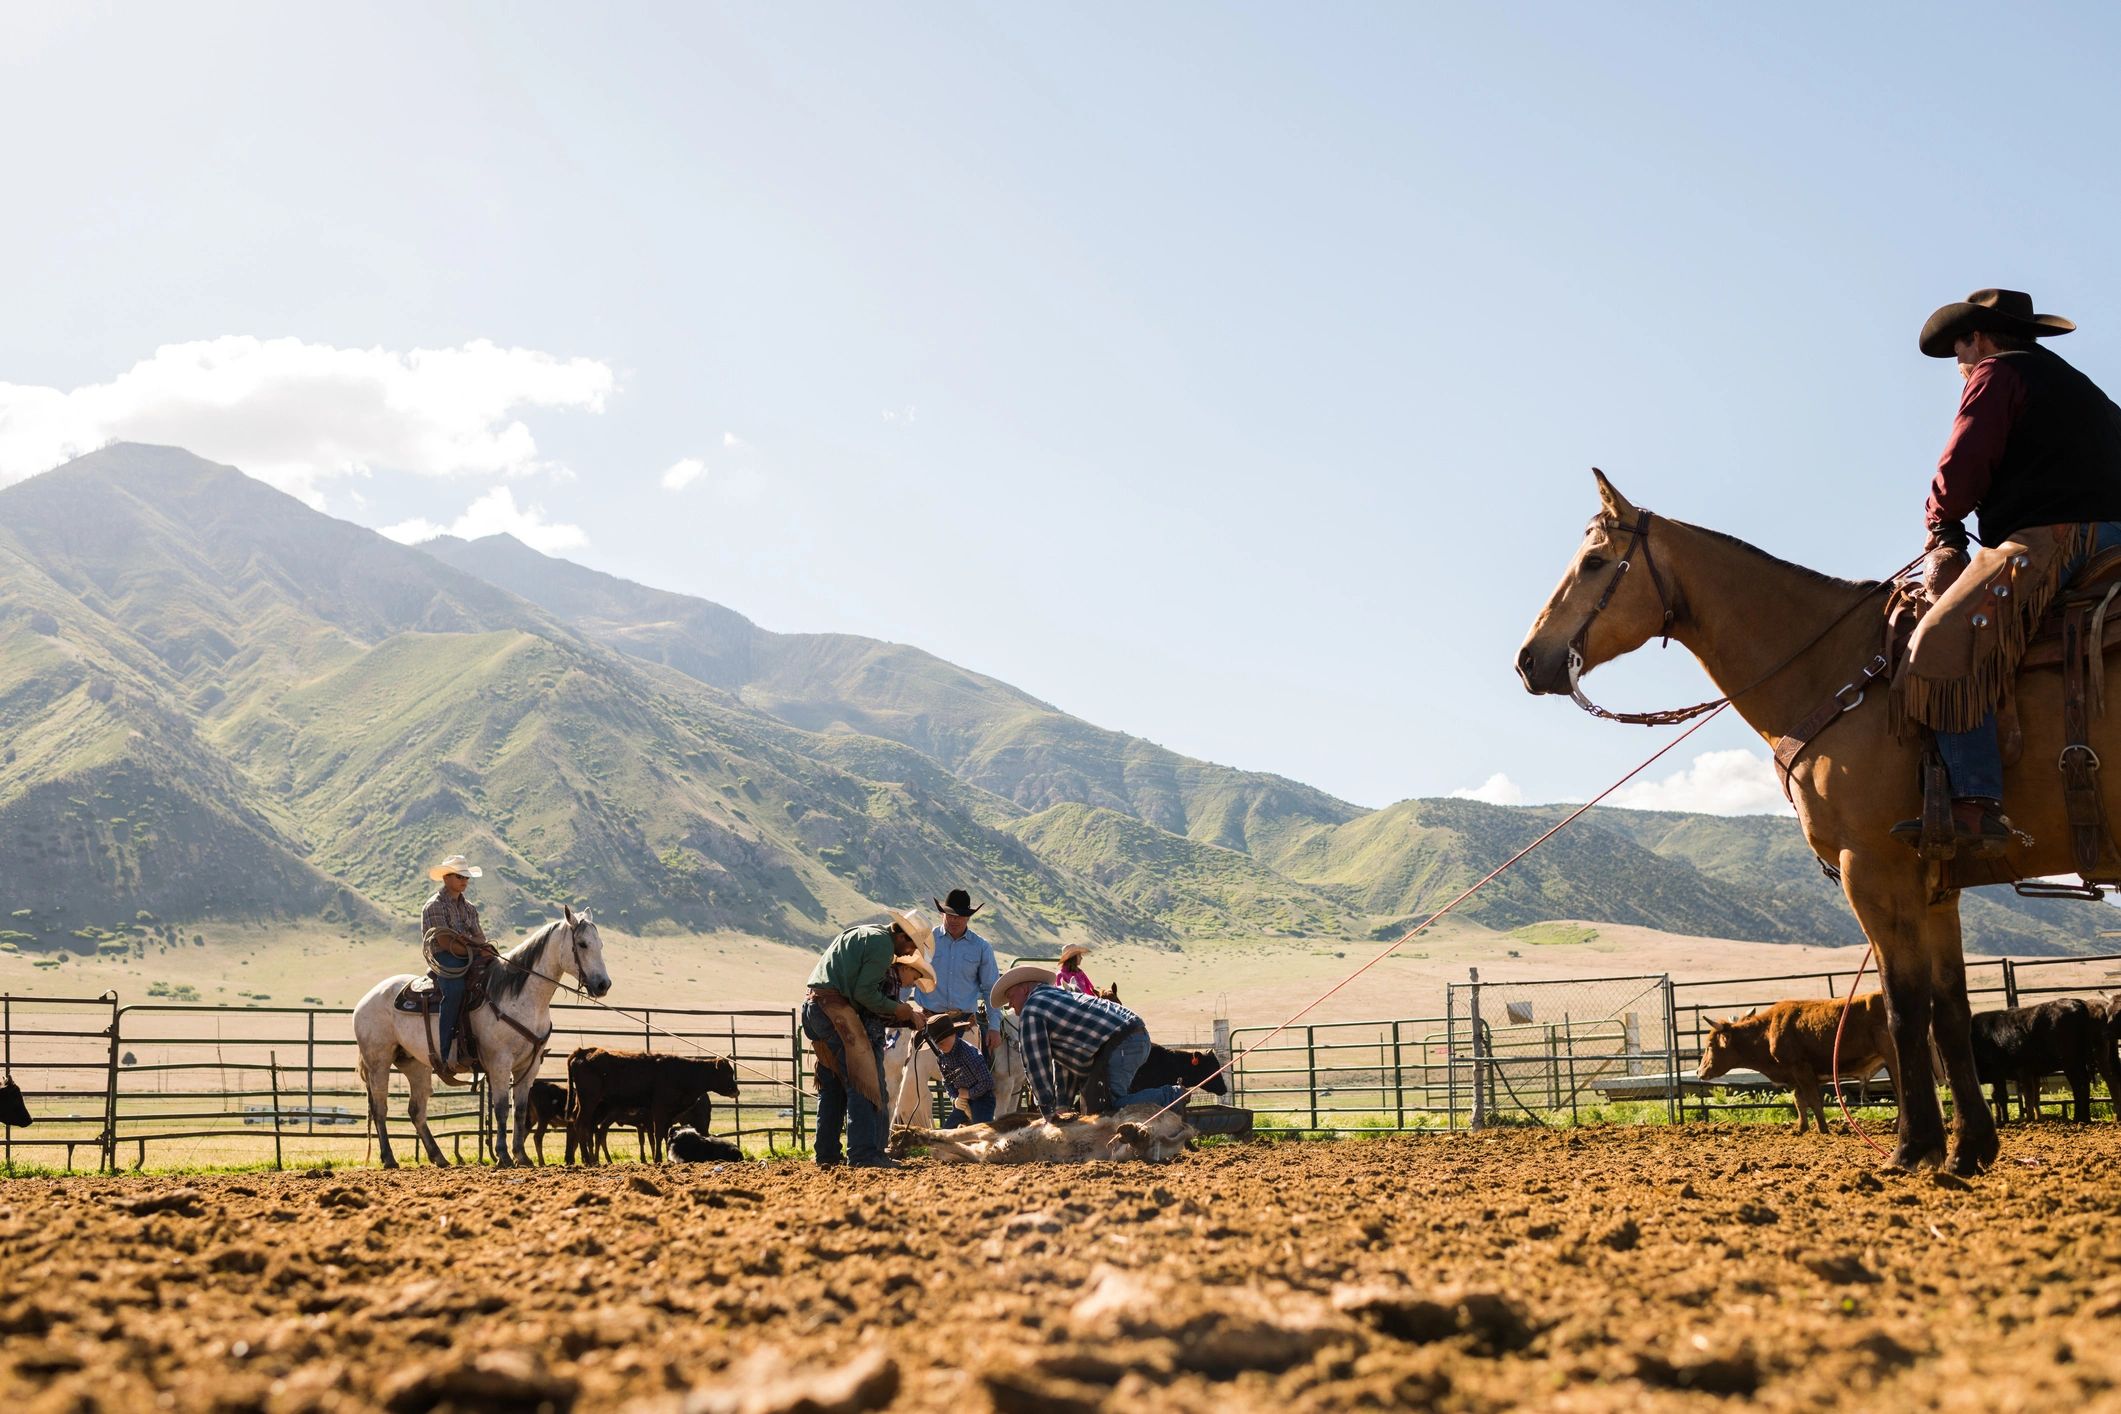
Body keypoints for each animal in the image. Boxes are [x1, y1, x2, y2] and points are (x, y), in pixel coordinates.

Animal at [565, 1048, 740, 1164]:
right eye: (727, 1073)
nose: (736, 1091)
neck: (683, 1073)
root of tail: (583, 1052)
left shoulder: (668, 1114)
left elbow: (663, 1134)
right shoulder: (659, 1109)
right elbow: (658, 1134)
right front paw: (658, 1159)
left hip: (587, 1103)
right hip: (589, 1101)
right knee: (581, 1125)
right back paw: (587, 1160)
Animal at [1695, 994, 1901, 1134]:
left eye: (1710, 1045)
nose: (1698, 1072)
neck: (1768, 1032)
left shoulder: (1802, 1069)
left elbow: (1814, 1100)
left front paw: (1823, 1129)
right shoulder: (1793, 1075)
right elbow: (1799, 1101)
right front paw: (1801, 1128)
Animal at [1967, 998, 2121, 1124]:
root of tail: (2078, 1003)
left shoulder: (2003, 1073)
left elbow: (2007, 1097)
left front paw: (2013, 1120)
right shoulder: (2028, 1074)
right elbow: (2031, 1097)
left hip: (2072, 1063)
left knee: (2081, 1084)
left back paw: (2080, 1118)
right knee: (2109, 1080)